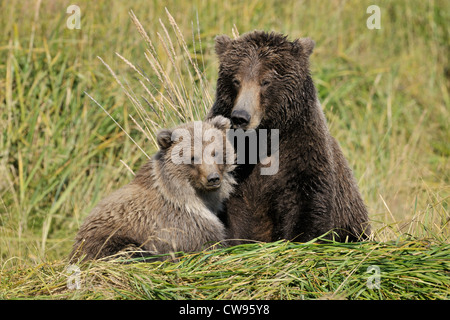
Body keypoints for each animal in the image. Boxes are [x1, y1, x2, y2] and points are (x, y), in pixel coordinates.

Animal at [207, 31, 370, 244]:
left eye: (265, 81)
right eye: (236, 80)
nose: (241, 117)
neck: (263, 139)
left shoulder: (301, 151)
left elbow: (305, 206)